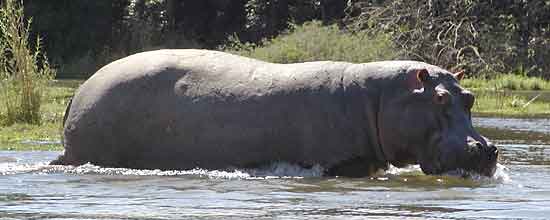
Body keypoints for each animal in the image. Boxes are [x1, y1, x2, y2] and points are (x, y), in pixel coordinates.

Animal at [50, 49, 500, 177]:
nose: (486, 148)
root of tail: (81, 88)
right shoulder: (343, 164)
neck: (379, 97)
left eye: (470, 97)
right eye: (438, 98)